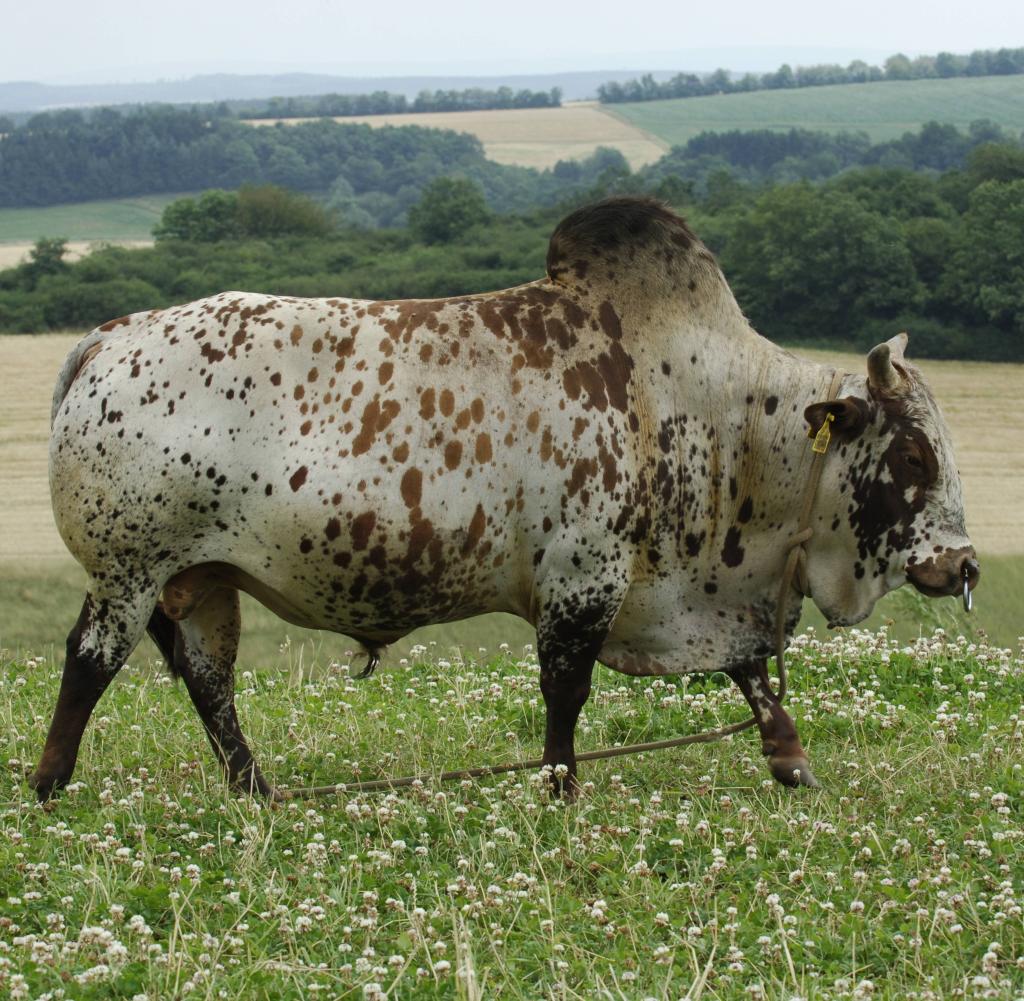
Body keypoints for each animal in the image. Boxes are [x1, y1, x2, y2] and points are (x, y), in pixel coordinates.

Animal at [29, 198, 974, 798]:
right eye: (915, 450)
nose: (962, 564)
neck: (706, 405)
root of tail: (110, 335)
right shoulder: (584, 580)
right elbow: (567, 694)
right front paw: (559, 789)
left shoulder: (684, 591)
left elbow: (749, 674)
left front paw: (790, 758)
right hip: (129, 571)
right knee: (89, 661)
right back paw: (49, 784)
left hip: (196, 581)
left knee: (207, 681)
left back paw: (255, 789)